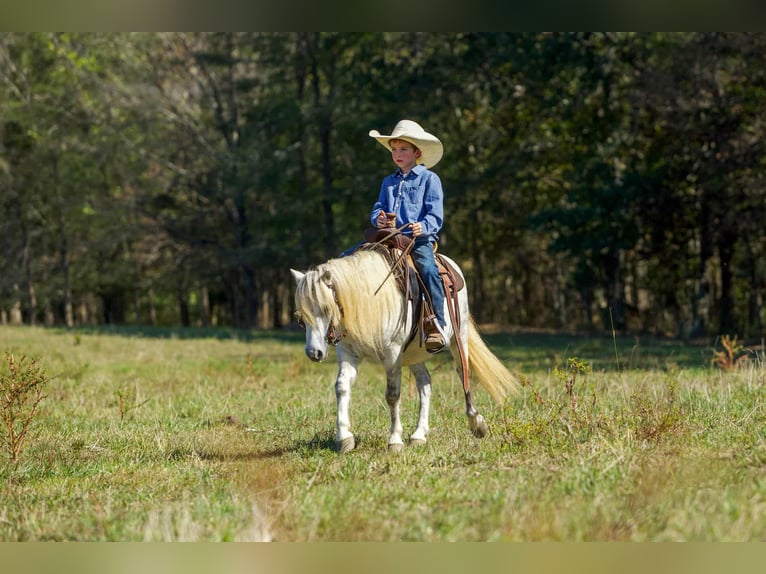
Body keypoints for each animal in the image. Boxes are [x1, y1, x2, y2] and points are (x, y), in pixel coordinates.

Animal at [290, 247, 519, 453]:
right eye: (301, 317)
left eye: (326, 308)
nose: (313, 353)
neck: (371, 300)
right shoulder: (348, 353)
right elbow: (341, 387)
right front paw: (344, 438)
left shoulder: (392, 354)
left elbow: (393, 395)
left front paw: (394, 441)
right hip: (413, 354)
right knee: (425, 383)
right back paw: (419, 434)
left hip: (458, 335)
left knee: (464, 372)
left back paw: (476, 423)